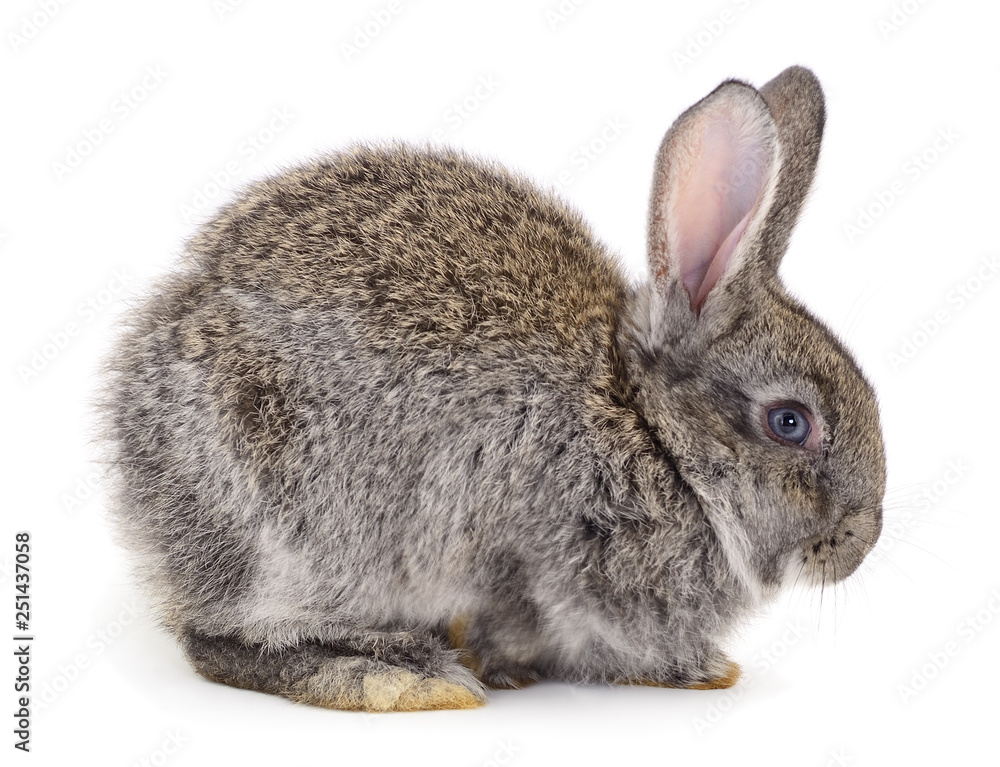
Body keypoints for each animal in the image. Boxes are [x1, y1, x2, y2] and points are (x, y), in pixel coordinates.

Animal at [101, 66, 885, 712]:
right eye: (790, 422)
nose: (861, 543)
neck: (649, 432)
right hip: (285, 517)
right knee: (221, 640)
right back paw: (399, 675)